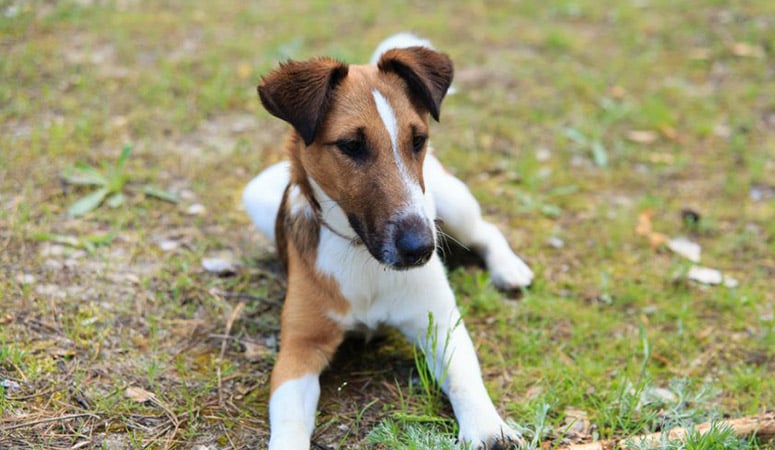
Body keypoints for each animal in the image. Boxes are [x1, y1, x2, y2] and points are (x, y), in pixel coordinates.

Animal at [246, 33, 536, 448]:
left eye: (417, 140)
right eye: (351, 145)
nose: (422, 249)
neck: (364, 257)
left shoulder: (440, 321)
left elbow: (464, 377)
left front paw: (486, 429)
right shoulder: (300, 347)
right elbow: (288, 418)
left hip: (453, 204)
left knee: (486, 230)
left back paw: (509, 268)